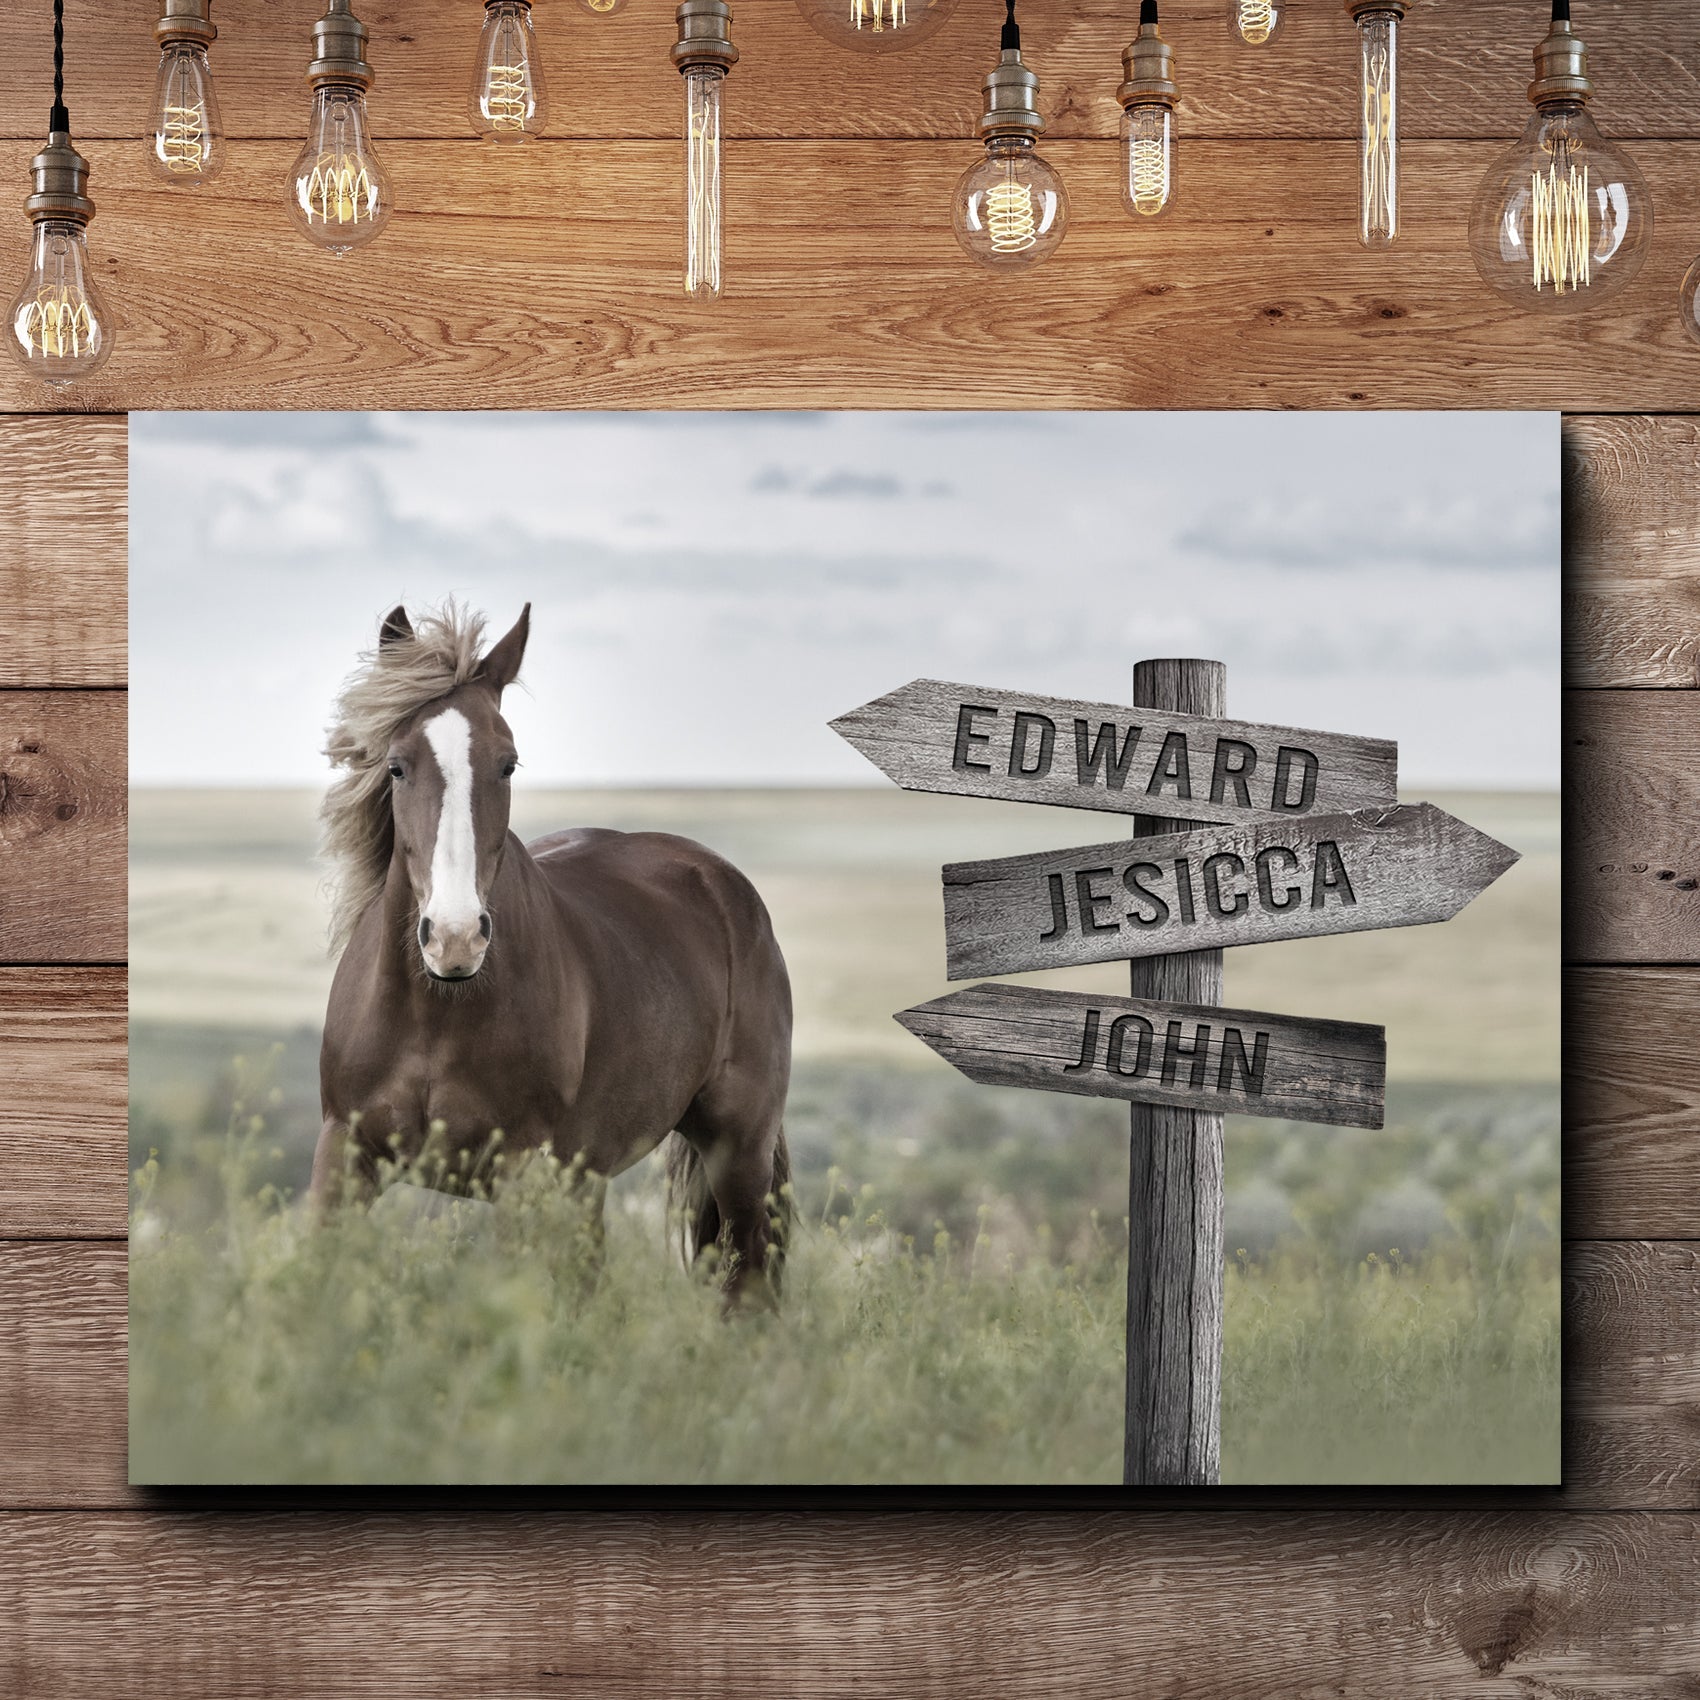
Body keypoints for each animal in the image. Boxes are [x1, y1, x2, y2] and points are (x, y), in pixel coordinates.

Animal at [310, 600, 794, 1302]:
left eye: (507, 764)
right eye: (396, 766)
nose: (455, 938)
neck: (436, 1012)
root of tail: (722, 883)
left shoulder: (520, 1172)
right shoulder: (344, 1155)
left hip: (739, 1154)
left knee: (747, 1284)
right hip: (587, 1178)